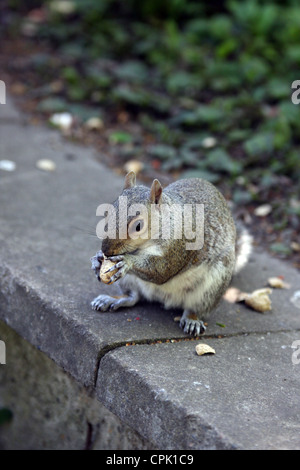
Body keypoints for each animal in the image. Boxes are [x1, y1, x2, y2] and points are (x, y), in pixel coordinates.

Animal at [91, 172, 251, 334]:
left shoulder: (178, 248)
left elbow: (160, 271)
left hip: (214, 284)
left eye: (138, 226)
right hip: (128, 281)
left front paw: (127, 262)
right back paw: (113, 299)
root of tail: (163, 299)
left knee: (197, 307)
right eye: (107, 213)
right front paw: (97, 260)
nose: (106, 250)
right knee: (134, 297)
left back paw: (192, 319)